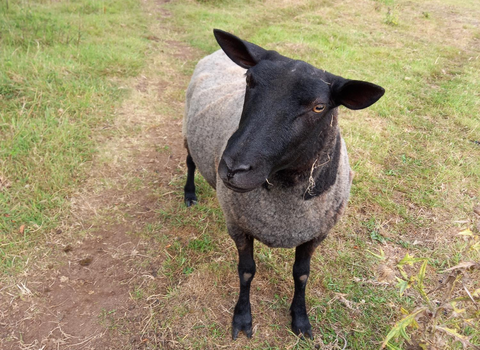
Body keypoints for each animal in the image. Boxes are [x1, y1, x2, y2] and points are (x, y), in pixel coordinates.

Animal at [182, 28, 384, 340]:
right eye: (249, 81)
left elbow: (301, 274)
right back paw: (189, 193)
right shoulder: (238, 225)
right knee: (190, 161)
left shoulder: (316, 233)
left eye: (319, 107)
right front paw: (242, 318)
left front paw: (300, 319)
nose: (232, 169)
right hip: (188, 132)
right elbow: (246, 271)